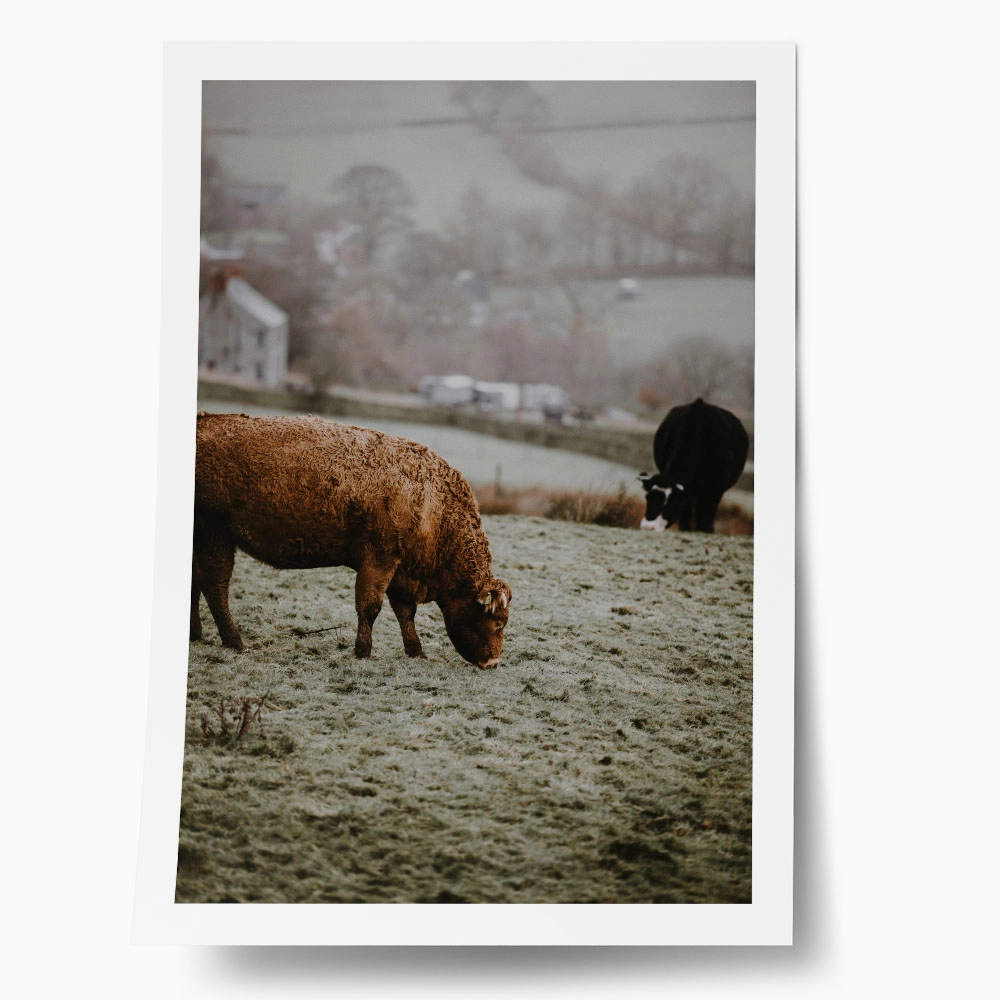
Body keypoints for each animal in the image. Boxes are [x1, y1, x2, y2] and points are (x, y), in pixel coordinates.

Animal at [191, 413, 512, 668]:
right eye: (497, 622)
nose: (493, 662)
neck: (431, 501)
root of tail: (205, 419)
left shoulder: (400, 571)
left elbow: (405, 613)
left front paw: (416, 651)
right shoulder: (379, 560)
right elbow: (370, 607)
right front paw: (363, 652)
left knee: (196, 581)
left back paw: (196, 634)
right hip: (214, 534)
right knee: (215, 585)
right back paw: (235, 641)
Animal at [638, 398, 749, 533]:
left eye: (669, 502)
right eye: (647, 497)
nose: (648, 527)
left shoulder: (717, 487)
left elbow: (710, 508)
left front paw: (706, 529)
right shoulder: (688, 490)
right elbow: (686, 508)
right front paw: (685, 528)